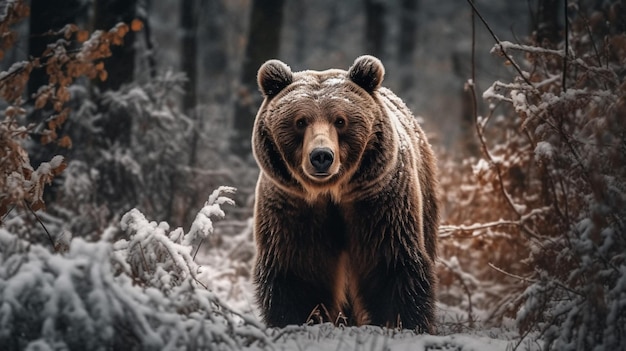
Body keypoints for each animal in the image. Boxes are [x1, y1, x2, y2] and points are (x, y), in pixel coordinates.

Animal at [251, 55, 436, 332]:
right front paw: (297, 321)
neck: (331, 192)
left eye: (340, 120)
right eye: (300, 121)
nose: (321, 156)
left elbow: (390, 260)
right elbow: (298, 269)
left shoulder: (378, 201)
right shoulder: (294, 207)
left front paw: (399, 322)